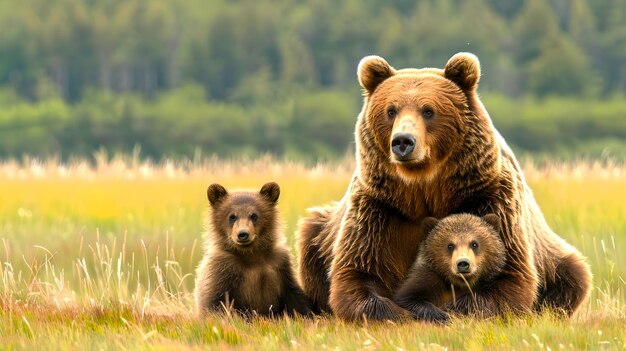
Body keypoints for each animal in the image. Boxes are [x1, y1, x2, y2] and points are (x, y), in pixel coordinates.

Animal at [296, 53, 588, 322]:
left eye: (428, 110)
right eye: (391, 110)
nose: (403, 141)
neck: (425, 190)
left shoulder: (490, 196)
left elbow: (510, 277)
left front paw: (450, 310)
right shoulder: (379, 208)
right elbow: (357, 272)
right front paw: (397, 312)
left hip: (553, 256)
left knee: (573, 275)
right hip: (319, 234)